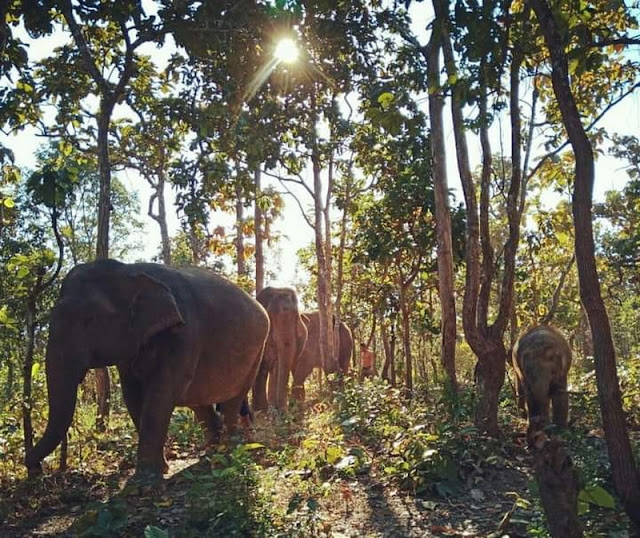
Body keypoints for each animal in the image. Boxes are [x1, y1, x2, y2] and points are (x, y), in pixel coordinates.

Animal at [24, 258, 270, 476]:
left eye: (90, 319)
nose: (35, 468)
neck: (130, 271)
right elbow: (132, 395)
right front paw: (160, 468)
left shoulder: (184, 335)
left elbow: (160, 394)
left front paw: (146, 479)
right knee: (199, 400)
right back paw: (210, 449)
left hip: (256, 351)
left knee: (231, 401)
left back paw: (229, 448)